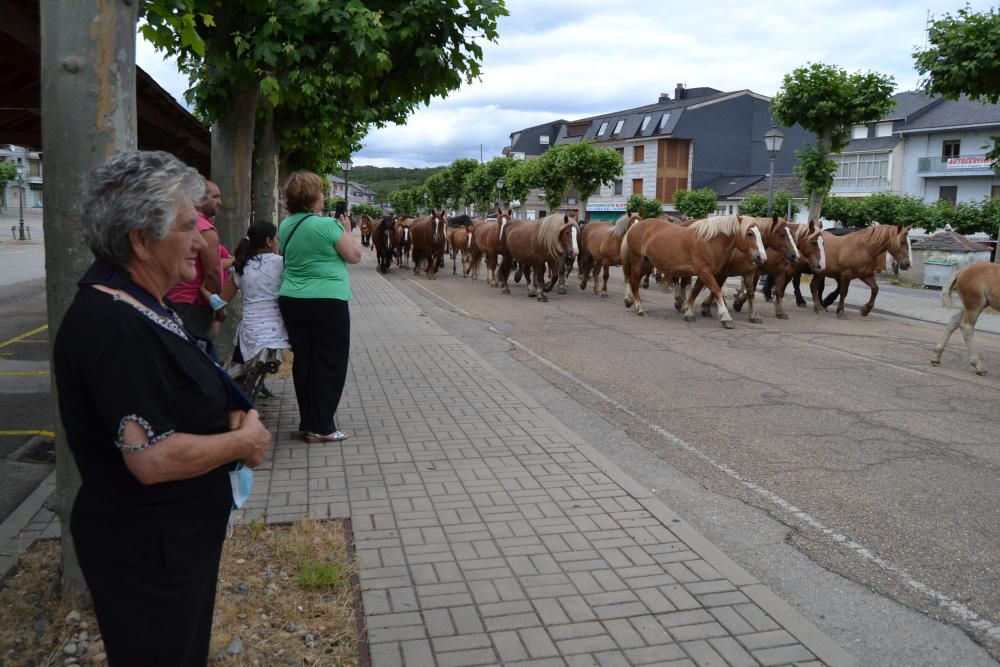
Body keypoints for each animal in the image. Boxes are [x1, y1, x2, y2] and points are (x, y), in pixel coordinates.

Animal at [620, 215, 768, 328]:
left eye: (760, 234)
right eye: (750, 234)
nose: (762, 257)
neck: (710, 242)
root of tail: (635, 227)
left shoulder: (704, 274)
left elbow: (696, 291)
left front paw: (688, 311)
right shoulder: (705, 272)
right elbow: (717, 291)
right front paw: (726, 317)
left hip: (647, 263)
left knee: (633, 281)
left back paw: (631, 302)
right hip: (638, 261)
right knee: (634, 282)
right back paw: (640, 308)